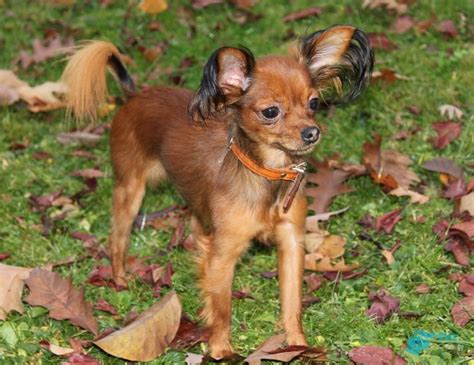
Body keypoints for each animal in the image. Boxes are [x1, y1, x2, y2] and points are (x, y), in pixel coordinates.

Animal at [62, 26, 374, 358]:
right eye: (271, 112)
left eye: (314, 103)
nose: (312, 133)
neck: (267, 174)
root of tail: (135, 94)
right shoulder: (224, 254)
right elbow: (223, 308)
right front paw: (221, 349)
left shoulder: (291, 242)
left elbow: (292, 302)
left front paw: (298, 345)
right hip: (130, 190)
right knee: (118, 238)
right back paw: (120, 277)